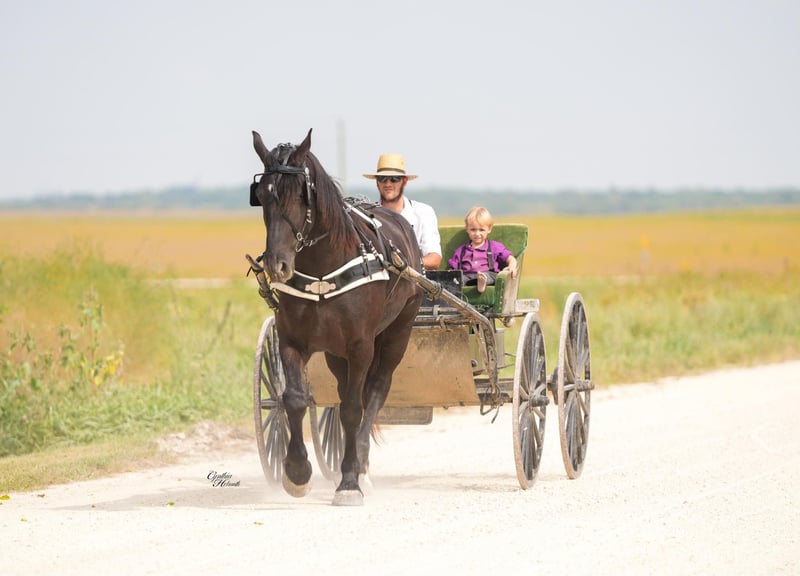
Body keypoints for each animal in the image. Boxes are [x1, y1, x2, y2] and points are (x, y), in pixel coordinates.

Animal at [249, 129, 424, 506]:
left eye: (301, 195)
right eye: (263, 194)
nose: (276, 265)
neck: (322, 270)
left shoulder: (360, 346)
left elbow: (353, 409)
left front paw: (348, 481)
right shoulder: (292, 340)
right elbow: (294, 399)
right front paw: (297, 472)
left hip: (396, 333)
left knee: (375, 391)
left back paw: (359, 466)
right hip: (333, 351)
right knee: (344, 391)